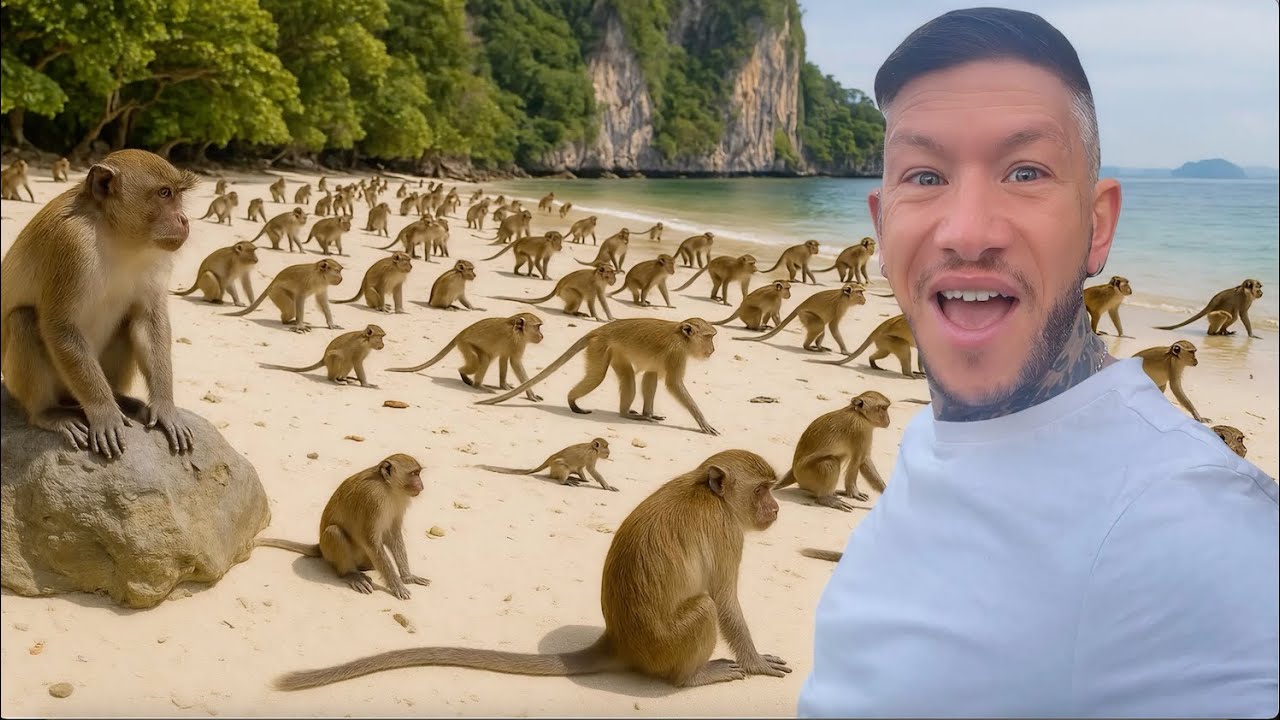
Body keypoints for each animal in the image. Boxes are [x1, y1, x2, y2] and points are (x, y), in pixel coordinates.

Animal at [0, 149, 199, 457]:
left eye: (177, 195)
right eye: (165, 193)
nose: (184, 220)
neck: (114, 232)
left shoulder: (157, 254)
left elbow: (148, 320)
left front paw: (166, 407)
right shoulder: (70, 244)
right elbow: (60, 326)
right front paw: (104, 412)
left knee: (129, 321)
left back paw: (122, 399)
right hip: (29, 385)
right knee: (23, 319)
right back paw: (47, 413)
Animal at [256, 454, 429, 599]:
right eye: (414, 474)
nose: (421, 485)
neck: (388, 487)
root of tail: (321, 547)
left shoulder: (399, 501)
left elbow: (392, 535)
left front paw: (407, 576)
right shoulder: (373, 499)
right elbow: (371, 542)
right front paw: (397, 585)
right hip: (332, 553)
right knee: (334, 532)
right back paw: (350, 575)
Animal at [388, 312, 545, 399]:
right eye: (538, 327)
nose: (542, 336)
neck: (518, 331)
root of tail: (461, 334)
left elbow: (504, 358)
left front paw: (503, 385)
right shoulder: (517, 343)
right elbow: (515, 363)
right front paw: (530, 394)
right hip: (467, 345)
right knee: (484, 360)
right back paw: (475, 383)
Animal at [476, 318, 720, 435]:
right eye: (709, 337)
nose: (713, 349)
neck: (683, 337)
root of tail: (599, 331)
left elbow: (650, 377)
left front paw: (649, 413)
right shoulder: (676, 354)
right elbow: (673, 384)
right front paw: (702, 421)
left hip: (614, 351)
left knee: (628, 376)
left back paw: (629, 412)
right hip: (600, 347)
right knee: (598, 376)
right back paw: (578, 402)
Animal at [478, 438, 616, 491]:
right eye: (606, 447)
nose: (609, 453)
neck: (592, 448)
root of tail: (551, 458)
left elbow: (580, 468)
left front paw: (584, 479)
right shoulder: (591, 455)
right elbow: (591, 469)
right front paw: (606, 485)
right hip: (557, 465)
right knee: (564, 467)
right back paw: (564, 481)